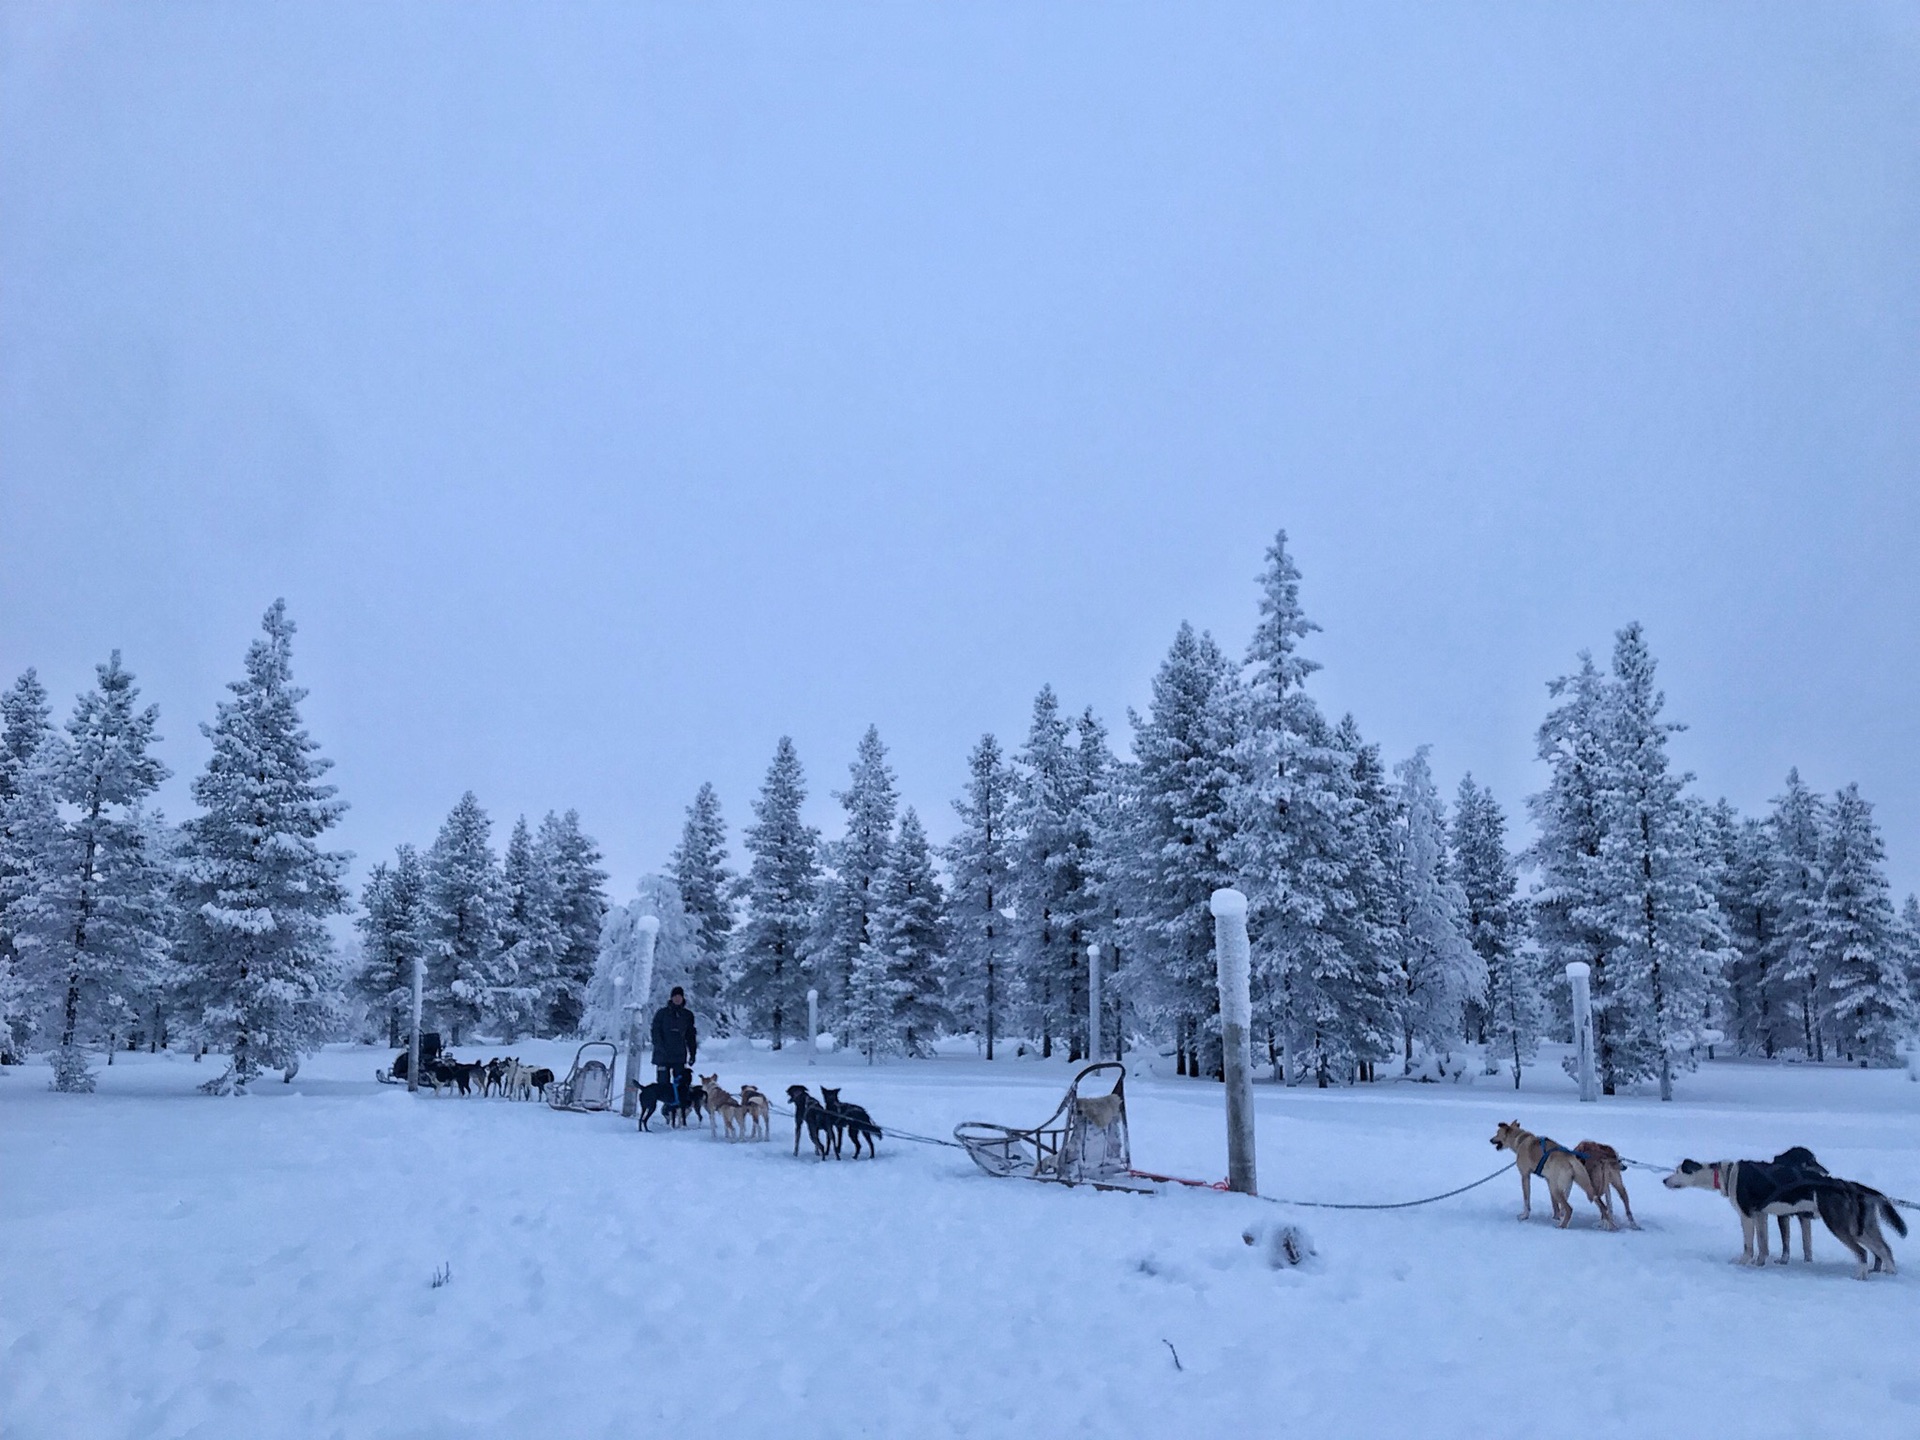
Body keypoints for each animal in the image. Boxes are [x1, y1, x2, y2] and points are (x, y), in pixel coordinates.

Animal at [1482, 1121, 1620, 1236]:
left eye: (1497, 1133)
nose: (1490, 1140)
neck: (1520, 1140)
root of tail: (1570, 1159)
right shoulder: (1548, 1181)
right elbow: (1554, 1204)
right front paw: (1555, 1216)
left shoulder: (1525, 1176)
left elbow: (1527, 1200)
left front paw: (1524, 1216)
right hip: (1584, 1185)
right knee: (1603, 1206)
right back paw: (1610, 1226)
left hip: (1557, 1188)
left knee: (1569, 1208)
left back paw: (1562, 1226)